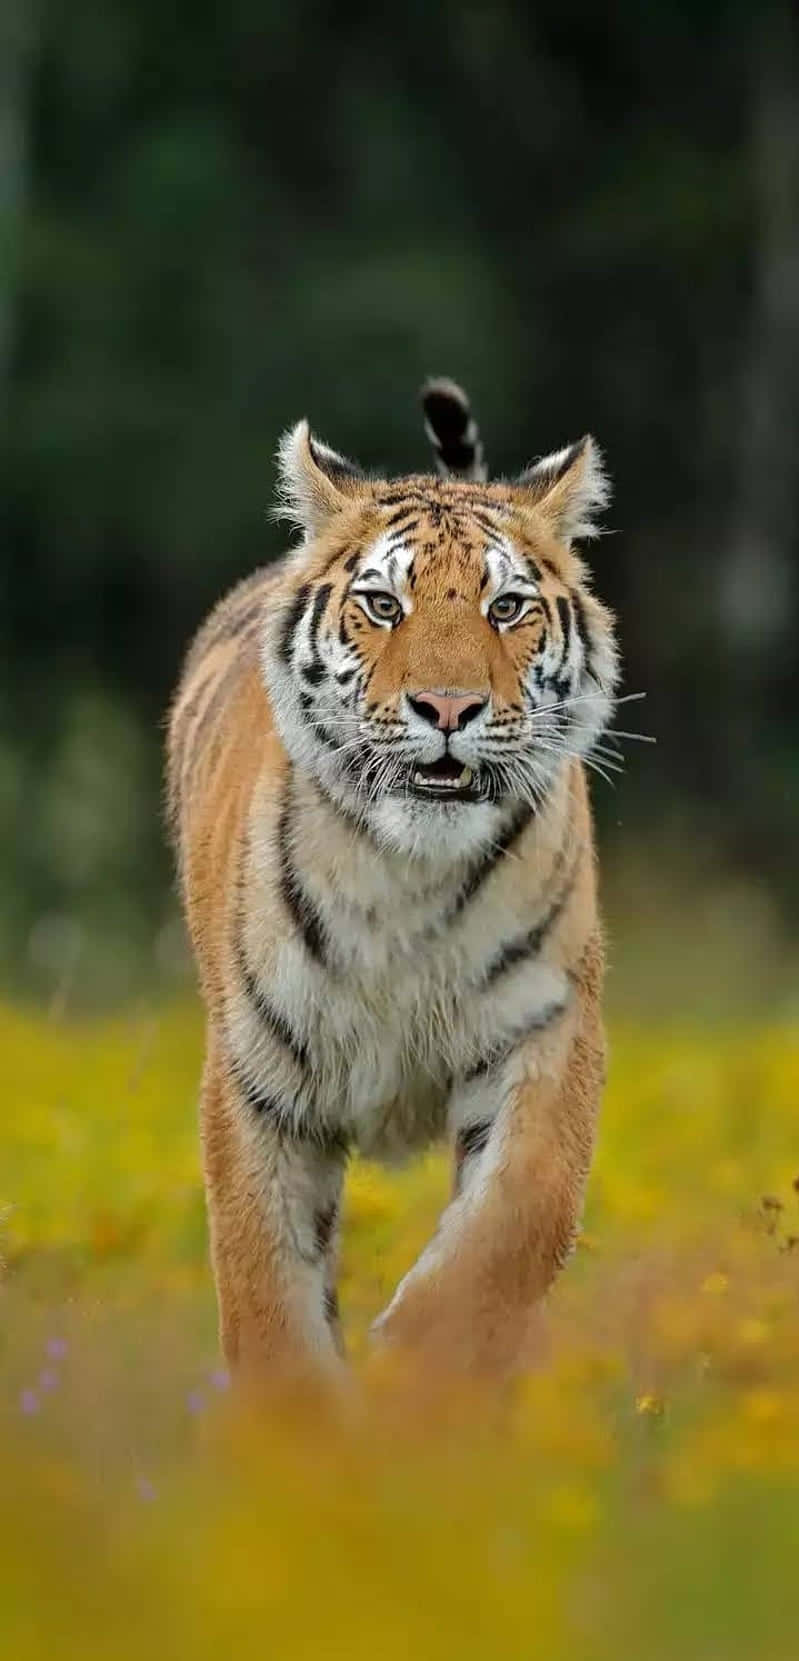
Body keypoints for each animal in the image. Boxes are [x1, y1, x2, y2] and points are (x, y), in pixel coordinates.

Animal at [166, 378, 620, 1388]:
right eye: (380, 603)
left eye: (506, 607)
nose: (447, 708)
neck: (406, 873)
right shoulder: (257, 1081)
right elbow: (264, 1290)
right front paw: (304, 1424)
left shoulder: (546, 1033)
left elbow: (509, 1225)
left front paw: (422, 1373)